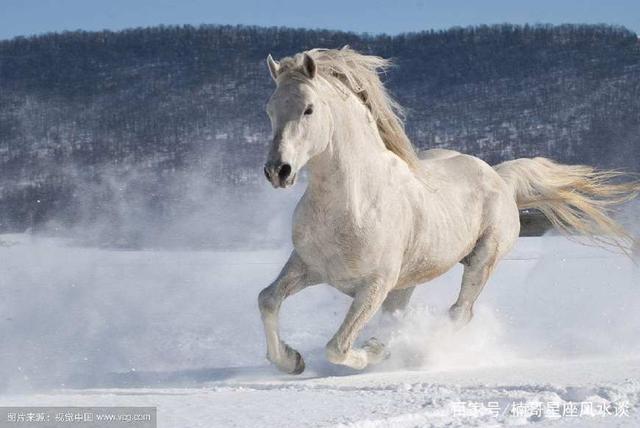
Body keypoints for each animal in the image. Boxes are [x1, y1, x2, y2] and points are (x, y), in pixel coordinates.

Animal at [258, 47, 636, 374]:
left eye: (308, 109)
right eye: (270, 110)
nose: (278, 171)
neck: (354, 203)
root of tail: (499, 177)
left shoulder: (375, 285)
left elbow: (337, 347)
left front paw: (371, 353)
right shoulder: (307, 267)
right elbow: (267, 299)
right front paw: (291, 361)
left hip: (483, 259)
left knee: (459, 313)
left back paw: (415, 350)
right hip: (408, 279)